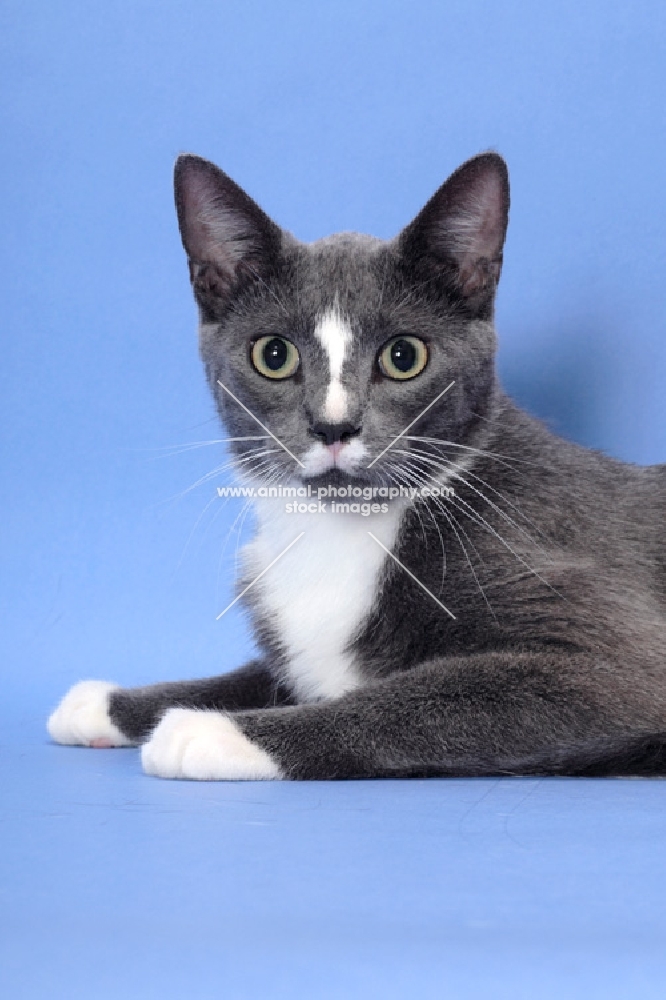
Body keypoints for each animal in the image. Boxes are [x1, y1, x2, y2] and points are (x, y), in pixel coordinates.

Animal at [46, 150, 664, 780]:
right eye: (273, 354)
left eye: (404, 356)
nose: (334, 426)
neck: (341, 531)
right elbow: (264, 674)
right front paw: (113, 704)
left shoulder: (600, 640)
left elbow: (413, 699)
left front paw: (213, 732)